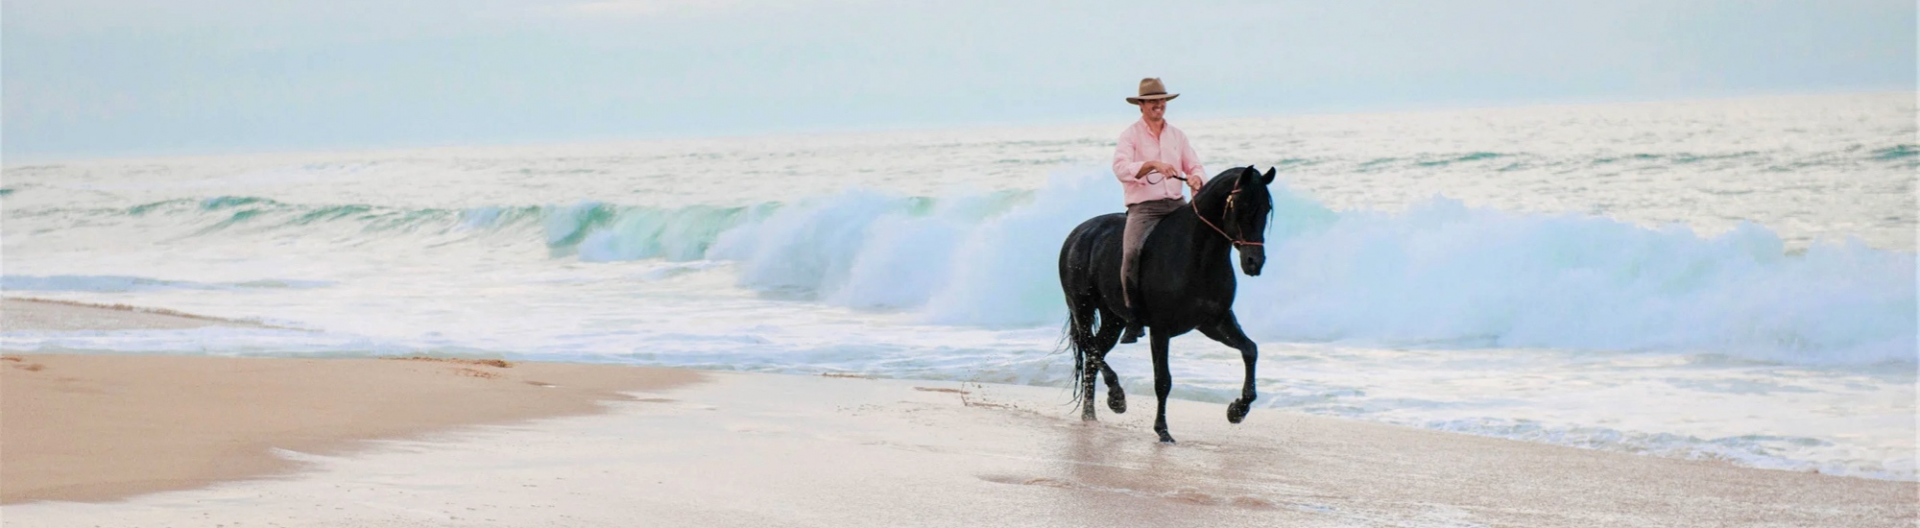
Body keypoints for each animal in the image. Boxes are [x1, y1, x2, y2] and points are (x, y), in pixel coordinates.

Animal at [1052, 164, 1274, 443]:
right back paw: (1116, 398)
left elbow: (1250, 350)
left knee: (1095, 353)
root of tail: (1078, 233)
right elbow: (1163, 380)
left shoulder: (1215, 322)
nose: (1255, 262)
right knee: (1089, 347)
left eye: (1266, 209)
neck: (1197, 256)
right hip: (1082, 307)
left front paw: (1237, 410)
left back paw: (1090, 414)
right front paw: (1162, 430)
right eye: (1241, 205)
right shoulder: (1160, 329)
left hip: (1113, 319)